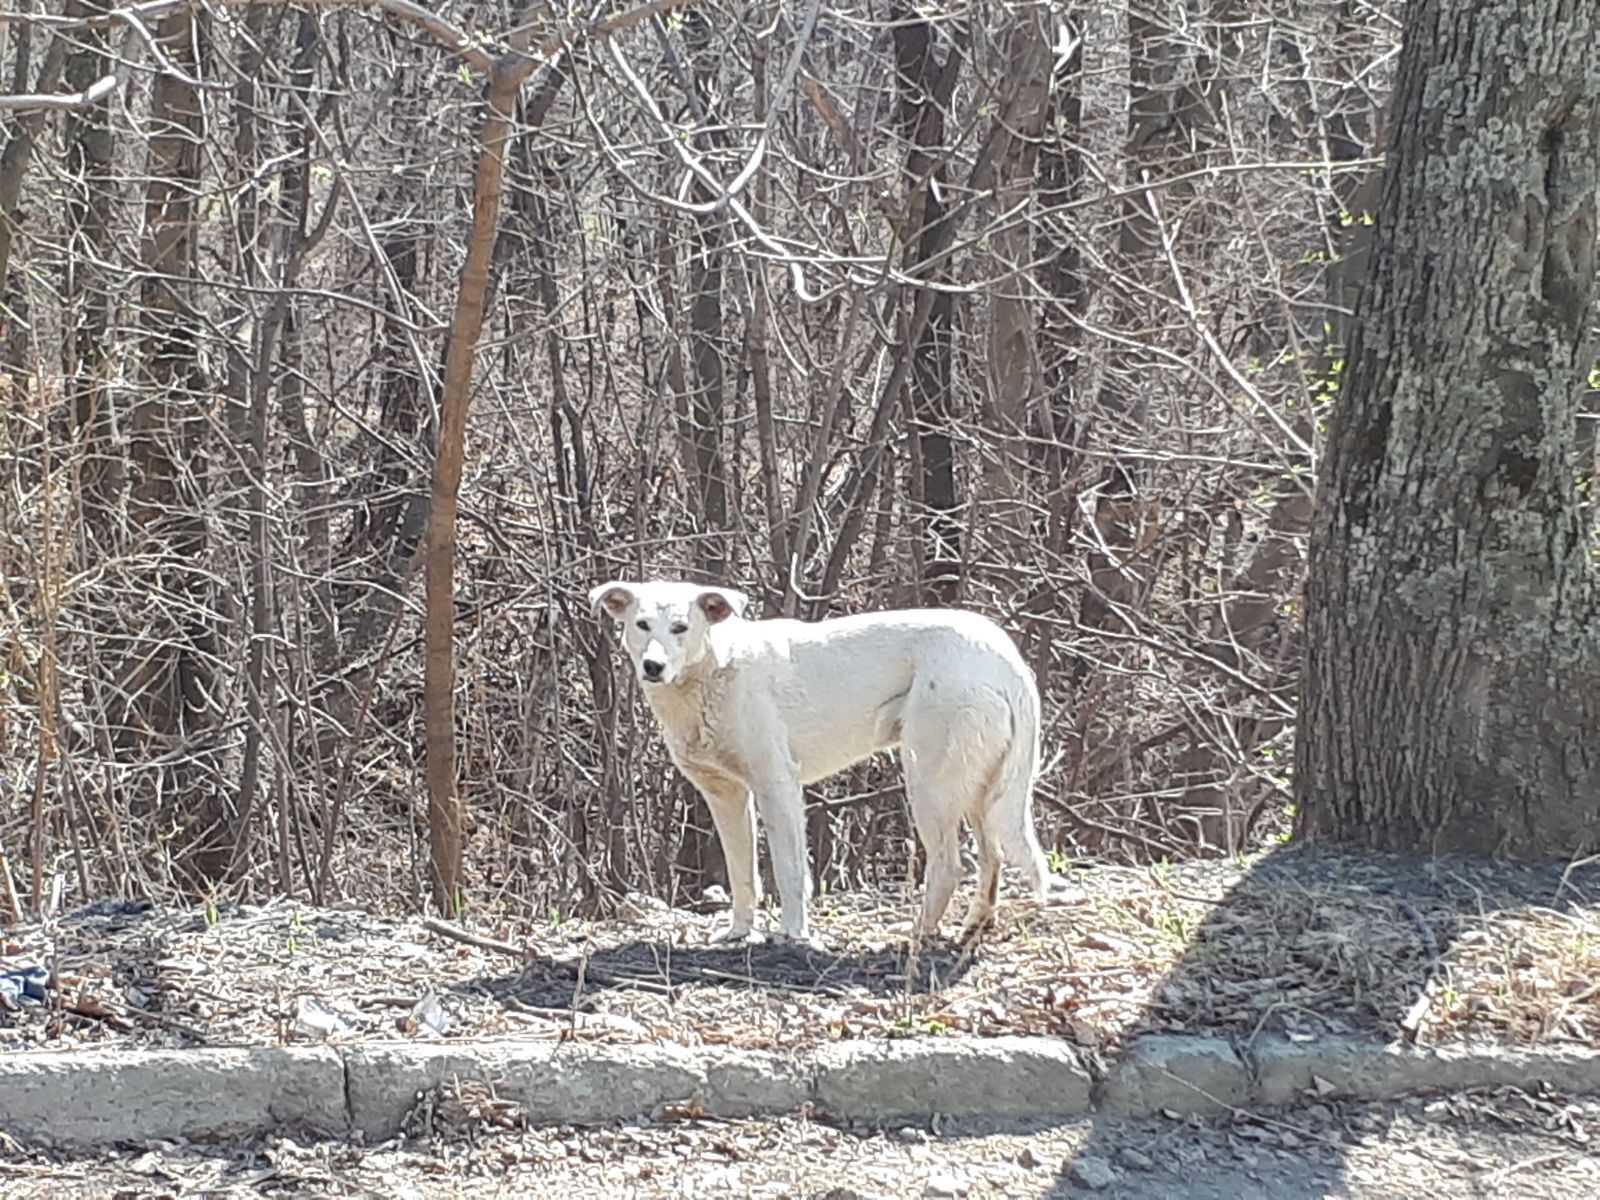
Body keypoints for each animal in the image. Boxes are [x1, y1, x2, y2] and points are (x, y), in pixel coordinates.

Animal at [588, 582, 1062, 947]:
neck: (714, 669)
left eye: (681, 628)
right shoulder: (727, 796)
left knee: (949, 865)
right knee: (992, 858)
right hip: (980, 791)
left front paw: (794, 934)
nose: (653, 666)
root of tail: (1009, 663)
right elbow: (743, 874)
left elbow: (789, 871)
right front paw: (740, 932)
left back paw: (916, 932)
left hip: (930, 784)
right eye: (642, 625)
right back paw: (975, 925)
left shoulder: (777, 787)